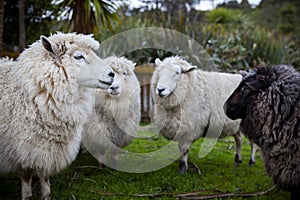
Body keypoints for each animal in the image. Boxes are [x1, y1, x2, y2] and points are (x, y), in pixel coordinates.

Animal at [0, 32, 115, 199]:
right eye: (78, 56)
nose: (112, 74)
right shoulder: (23, 149)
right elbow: (27, 178)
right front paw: (27, 196)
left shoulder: (47, 150)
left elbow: (44, 176)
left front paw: (46, 195)